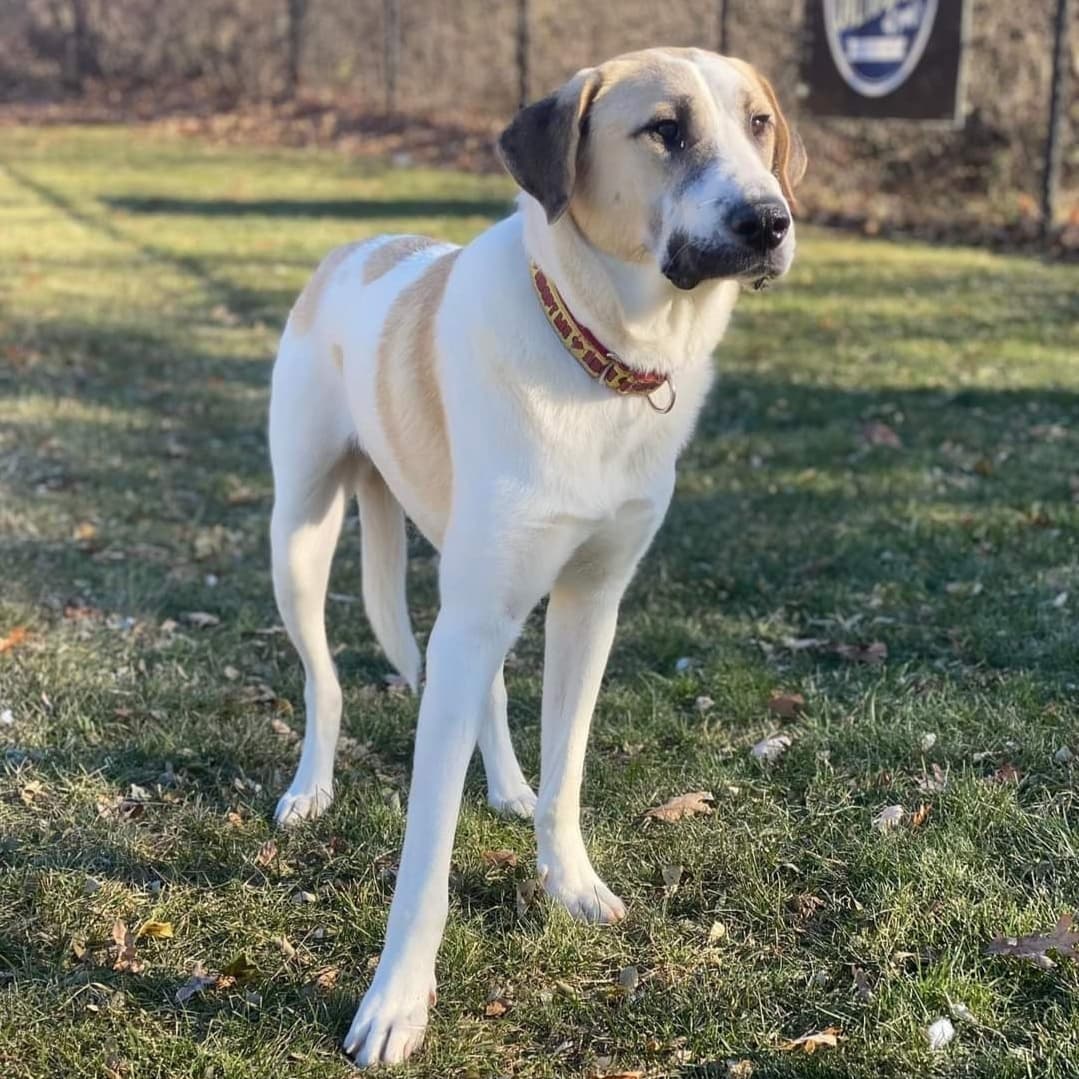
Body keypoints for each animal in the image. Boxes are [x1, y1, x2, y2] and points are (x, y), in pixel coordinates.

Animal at [267, 46, 802, 1066]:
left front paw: (567, 878)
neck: (600, 358)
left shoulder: (587, 604)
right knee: (325, 679)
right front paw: (396, 1002)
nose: (769, 221)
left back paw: (508, 787)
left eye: (757, 124)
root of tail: (357, 248)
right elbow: (426, 851)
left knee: (476, 690)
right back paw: (311, 787)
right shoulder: (477, 610)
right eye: (665, 129)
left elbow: (568, 770)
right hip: (301, 536)